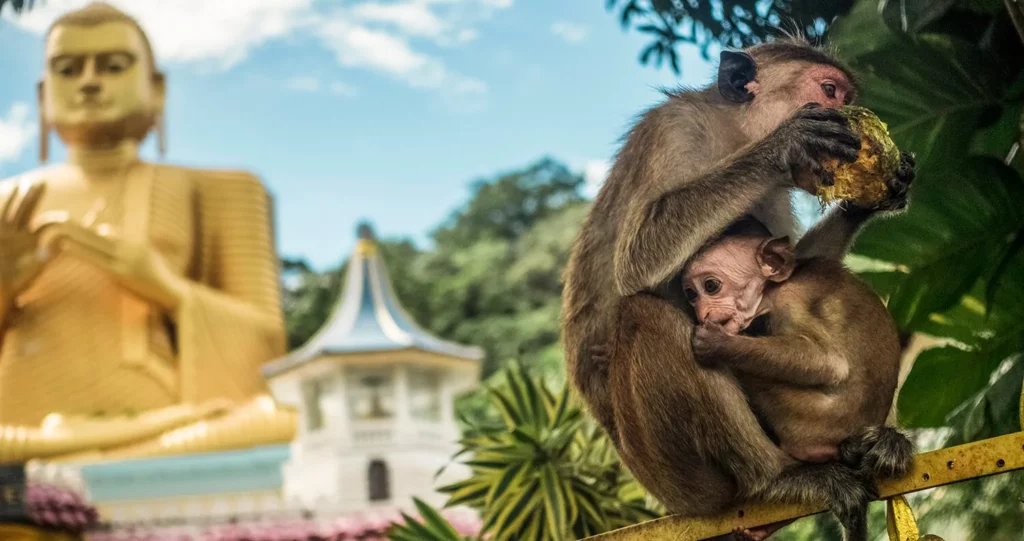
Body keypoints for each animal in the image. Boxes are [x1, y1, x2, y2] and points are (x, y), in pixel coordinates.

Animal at [684, 217, 917, 536]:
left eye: (711, 286)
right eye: (691, 294)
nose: (702, 311)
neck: (774, 288)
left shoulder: (789, 302)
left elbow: (829, 363)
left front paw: (717, 343)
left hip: (808, 421)